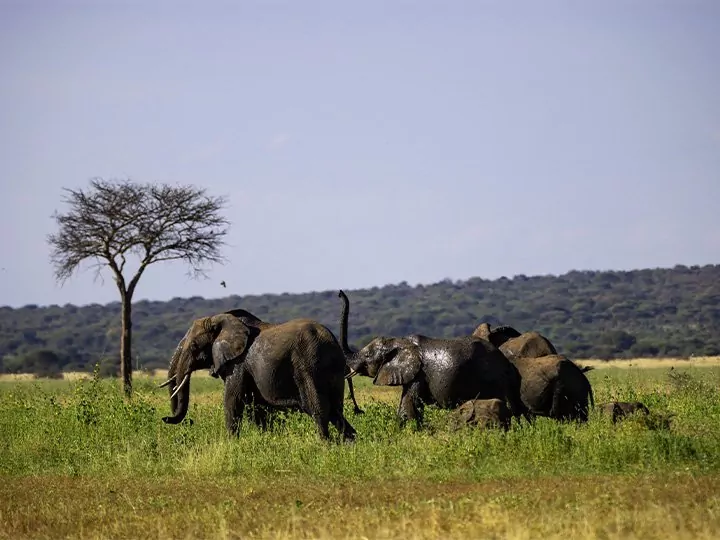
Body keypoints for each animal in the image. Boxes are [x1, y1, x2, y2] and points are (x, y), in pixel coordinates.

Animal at [160, 310, 358, 440]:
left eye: (194, 346)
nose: (165, 418)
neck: (221, 318)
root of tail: (331, 341)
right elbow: (257, 409)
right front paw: (265, 442)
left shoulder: (238, 364)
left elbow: (233, 400)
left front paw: (232, 445)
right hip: (331, 371)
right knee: (336, 412)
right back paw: (349, 444)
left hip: (309, 365)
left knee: (318, 410)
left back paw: (325, 445)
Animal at [338, 288, 528, 428]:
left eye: (367, 356)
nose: (340, 293)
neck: (399, 341)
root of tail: (506, 363)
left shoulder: (418, 375)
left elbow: (408, 407)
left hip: (493, 379)